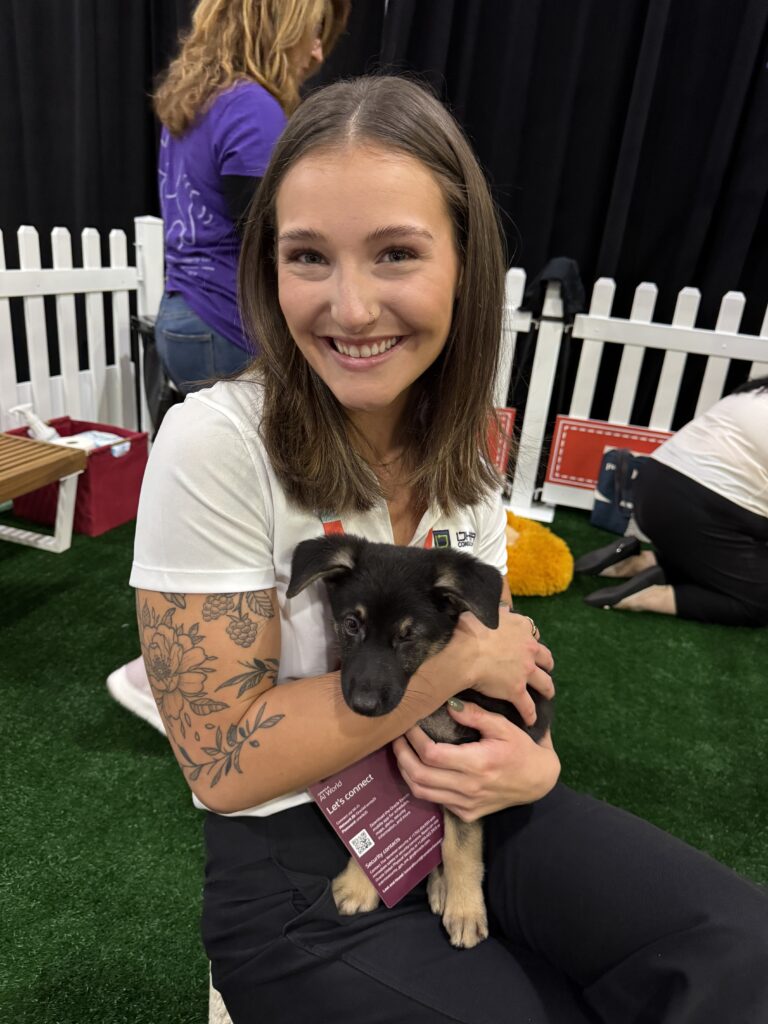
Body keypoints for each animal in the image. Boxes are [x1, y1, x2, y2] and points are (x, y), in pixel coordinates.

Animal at [287, 534, 553, 948]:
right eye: (351, 624)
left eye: (407, 635)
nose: (363, 706)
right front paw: (360, 882)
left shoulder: (468, 762)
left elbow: (460, 844)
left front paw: (465, 909)